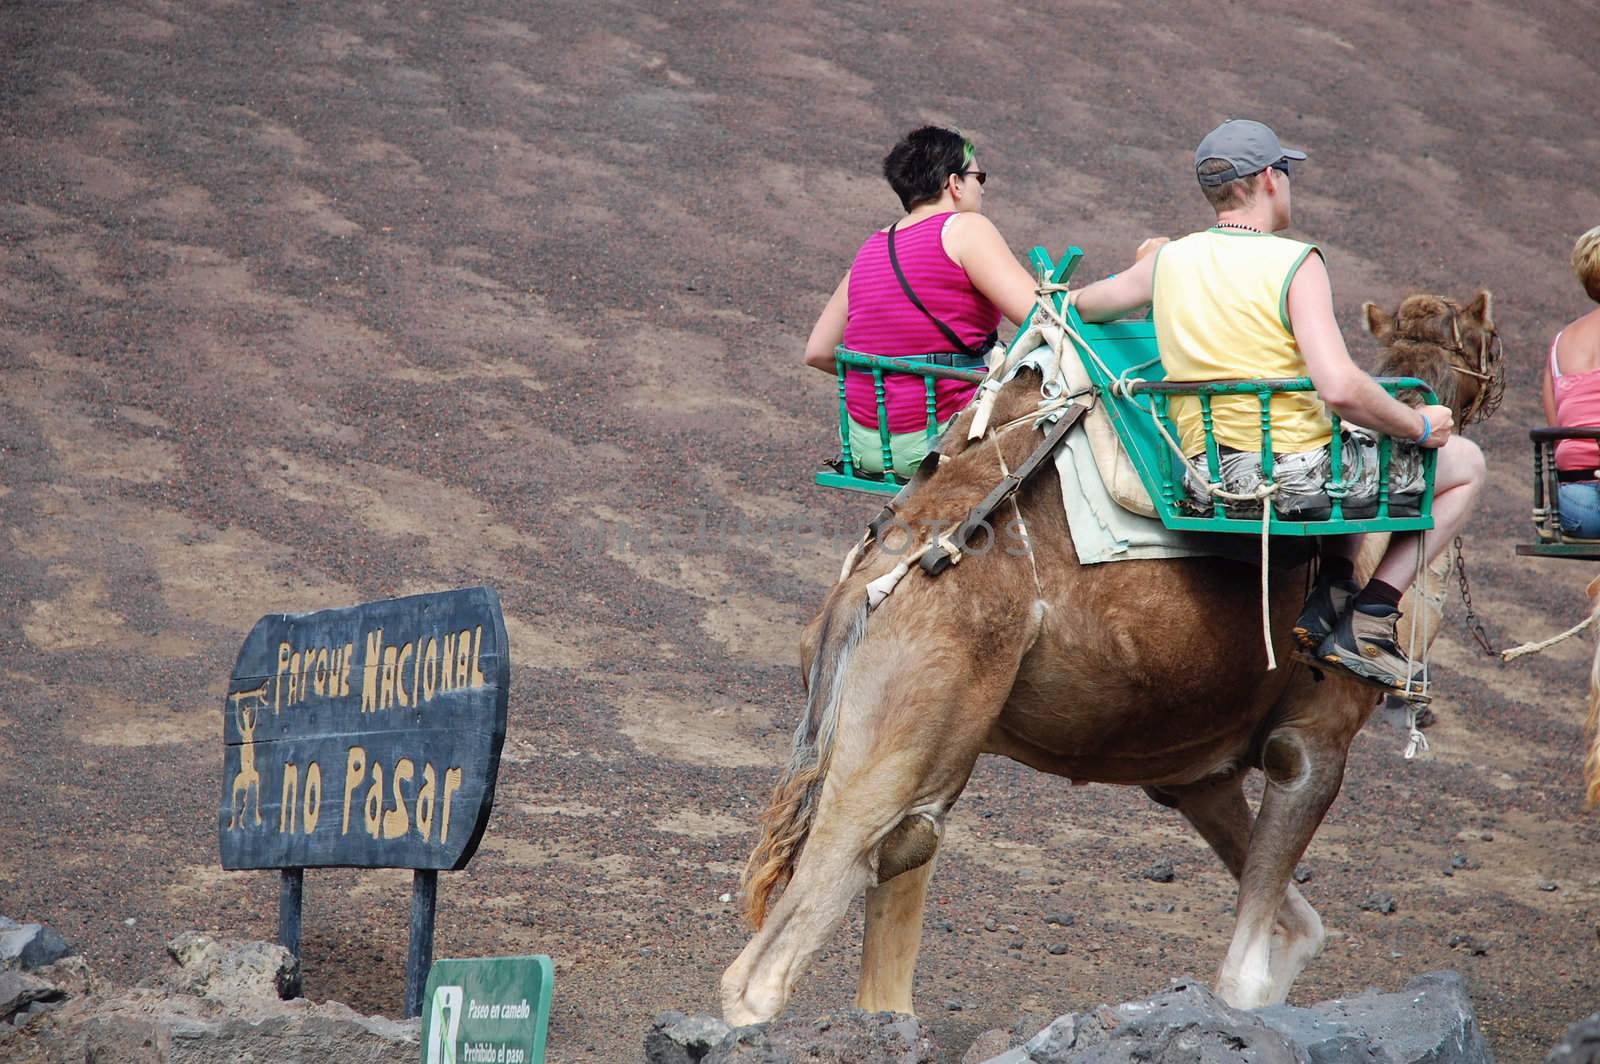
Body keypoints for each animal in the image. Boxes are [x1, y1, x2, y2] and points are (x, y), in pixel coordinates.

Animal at [723, 291, 1497, 1024]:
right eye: (1490, 339)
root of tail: (870, 585)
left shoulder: (1195, 776)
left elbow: (1296, 926)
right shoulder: (1309, 744)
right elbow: (1246, 976)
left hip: (924, 738)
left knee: (906, 854)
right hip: (898, 733)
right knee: (767, 965)